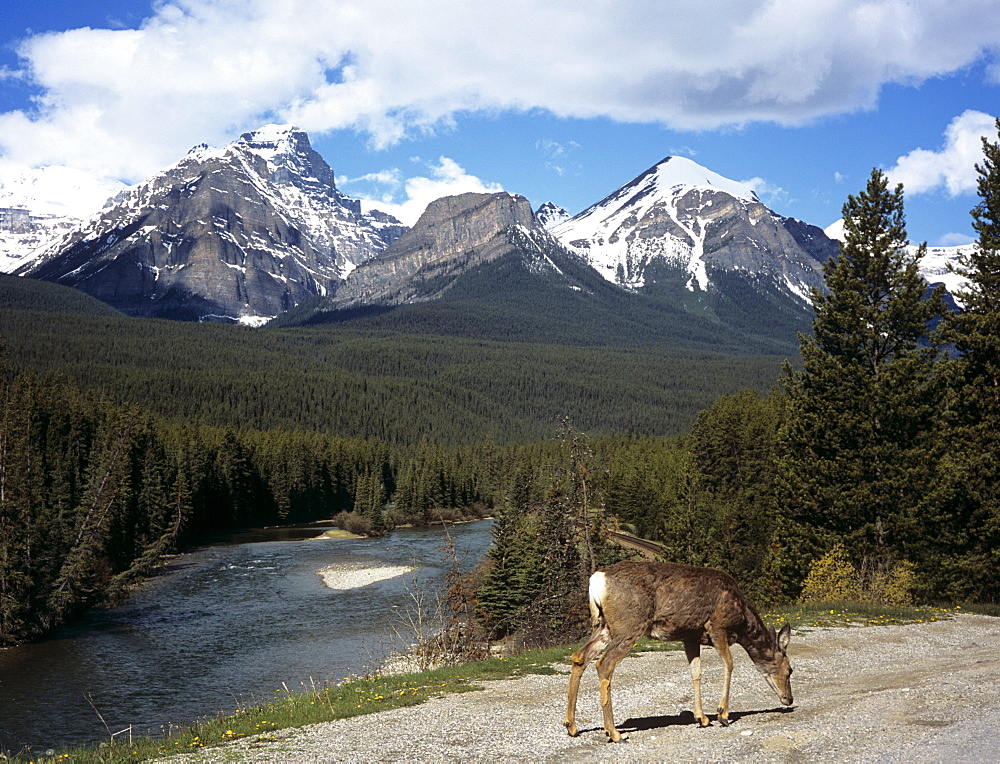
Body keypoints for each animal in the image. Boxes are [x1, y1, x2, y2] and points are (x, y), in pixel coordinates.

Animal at [568, 560, 792, 740]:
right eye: (790, 669)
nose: (789, 699)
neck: (742, 620)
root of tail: (597, 579)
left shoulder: (690, 636)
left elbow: (696, 671)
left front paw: (701, 718)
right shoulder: (718, 626)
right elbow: (729, 664)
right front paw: (723, 714)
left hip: (604, 626)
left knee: (580, 657)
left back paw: (571, 726)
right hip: (629, 624)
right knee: (604, 664)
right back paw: (614, 733)